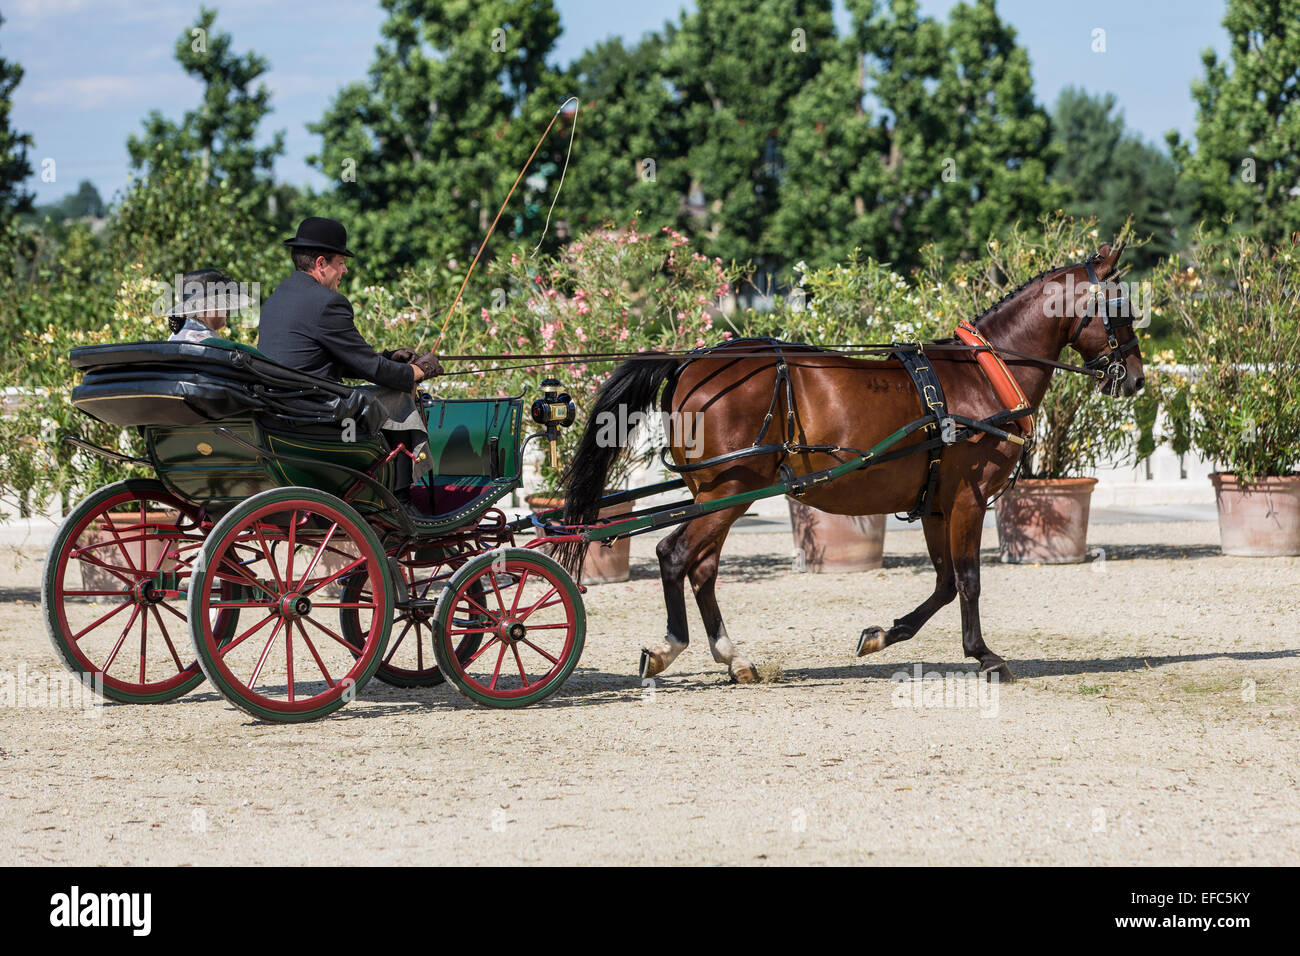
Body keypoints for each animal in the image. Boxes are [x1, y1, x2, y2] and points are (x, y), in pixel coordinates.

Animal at [553, 243, 1144, 686]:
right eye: (1119, 306)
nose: (1136, 378)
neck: (983, 374)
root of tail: (689, 362)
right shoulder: (968, 500)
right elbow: (970, 579)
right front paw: (985, 655)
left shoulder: (935, 505)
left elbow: (945, 583)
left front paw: (882, 635)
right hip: (728, 490)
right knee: (675, 556)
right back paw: (673, 648)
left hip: (719, 494)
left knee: (700, 566)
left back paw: (732, 657)